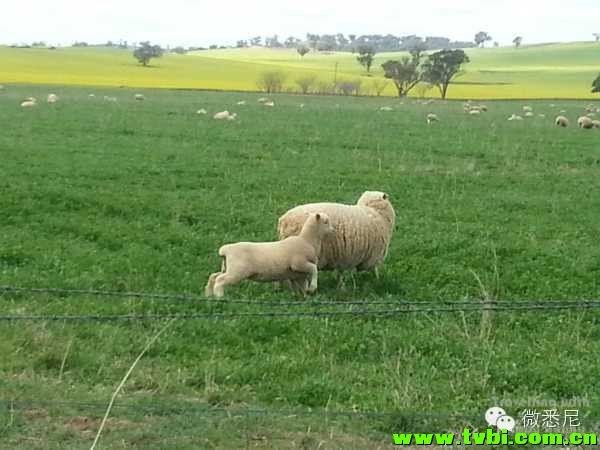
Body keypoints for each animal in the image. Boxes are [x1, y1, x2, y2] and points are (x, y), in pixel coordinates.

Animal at [205, 212, 336, 298]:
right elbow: (314, 269)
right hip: (237, 271)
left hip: (228, 267)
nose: (334, 230)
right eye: (326, 222)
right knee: (220, 280)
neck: (307, 240)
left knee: (214, 276)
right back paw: (219, 296)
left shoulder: (298, 274)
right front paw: (313, 287)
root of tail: (226, 250)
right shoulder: (299, 264)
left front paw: (304, 296)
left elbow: (302, 286)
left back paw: (209, 294)